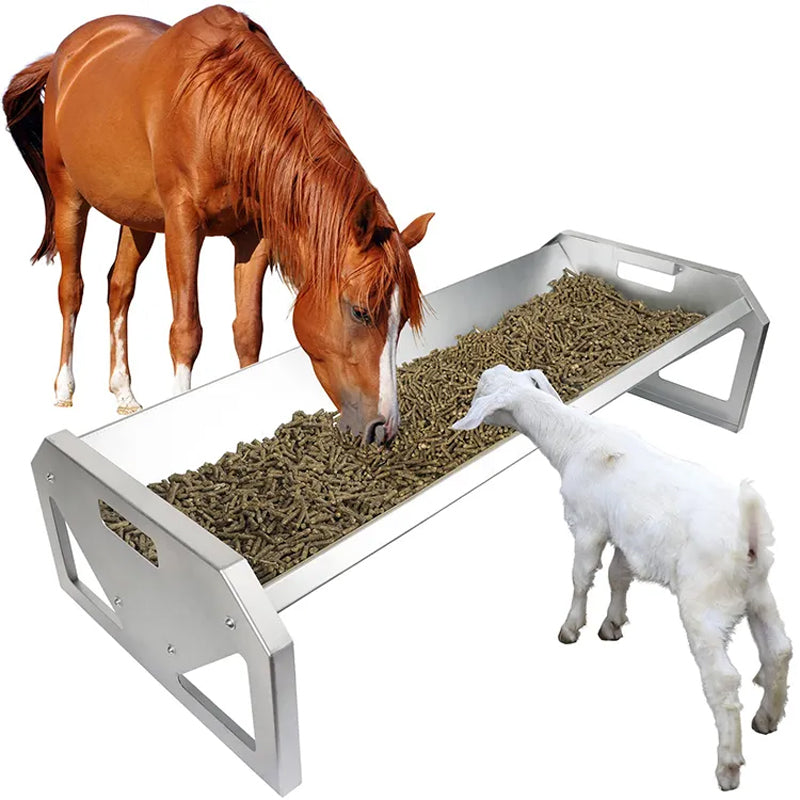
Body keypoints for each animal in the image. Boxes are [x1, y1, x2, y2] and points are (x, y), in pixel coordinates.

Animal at [3, 4, 432, 444]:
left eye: (401, 319)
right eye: (360, 312)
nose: (383, 429)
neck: (219, 108)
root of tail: (64, 55)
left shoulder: (252, 238)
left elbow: (248, 329)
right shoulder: (183, 226)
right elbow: (186, 331)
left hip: (137, 218)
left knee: (119, 287)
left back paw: (124, 394)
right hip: (70, 198)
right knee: (71, 289)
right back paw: (64, 389)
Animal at [452, 364, 792, 791]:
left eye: (483, 389)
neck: (577, 441)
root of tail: (749, 540)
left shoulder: (588, 526)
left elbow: (581, 577)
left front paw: (571, 628)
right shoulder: (626, 538)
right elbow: (617, 577)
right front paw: (611, 624)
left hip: (704, 605)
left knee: (725, 680)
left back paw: (728, 767)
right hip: (759, 591)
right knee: (779, 649)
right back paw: (768, 717)